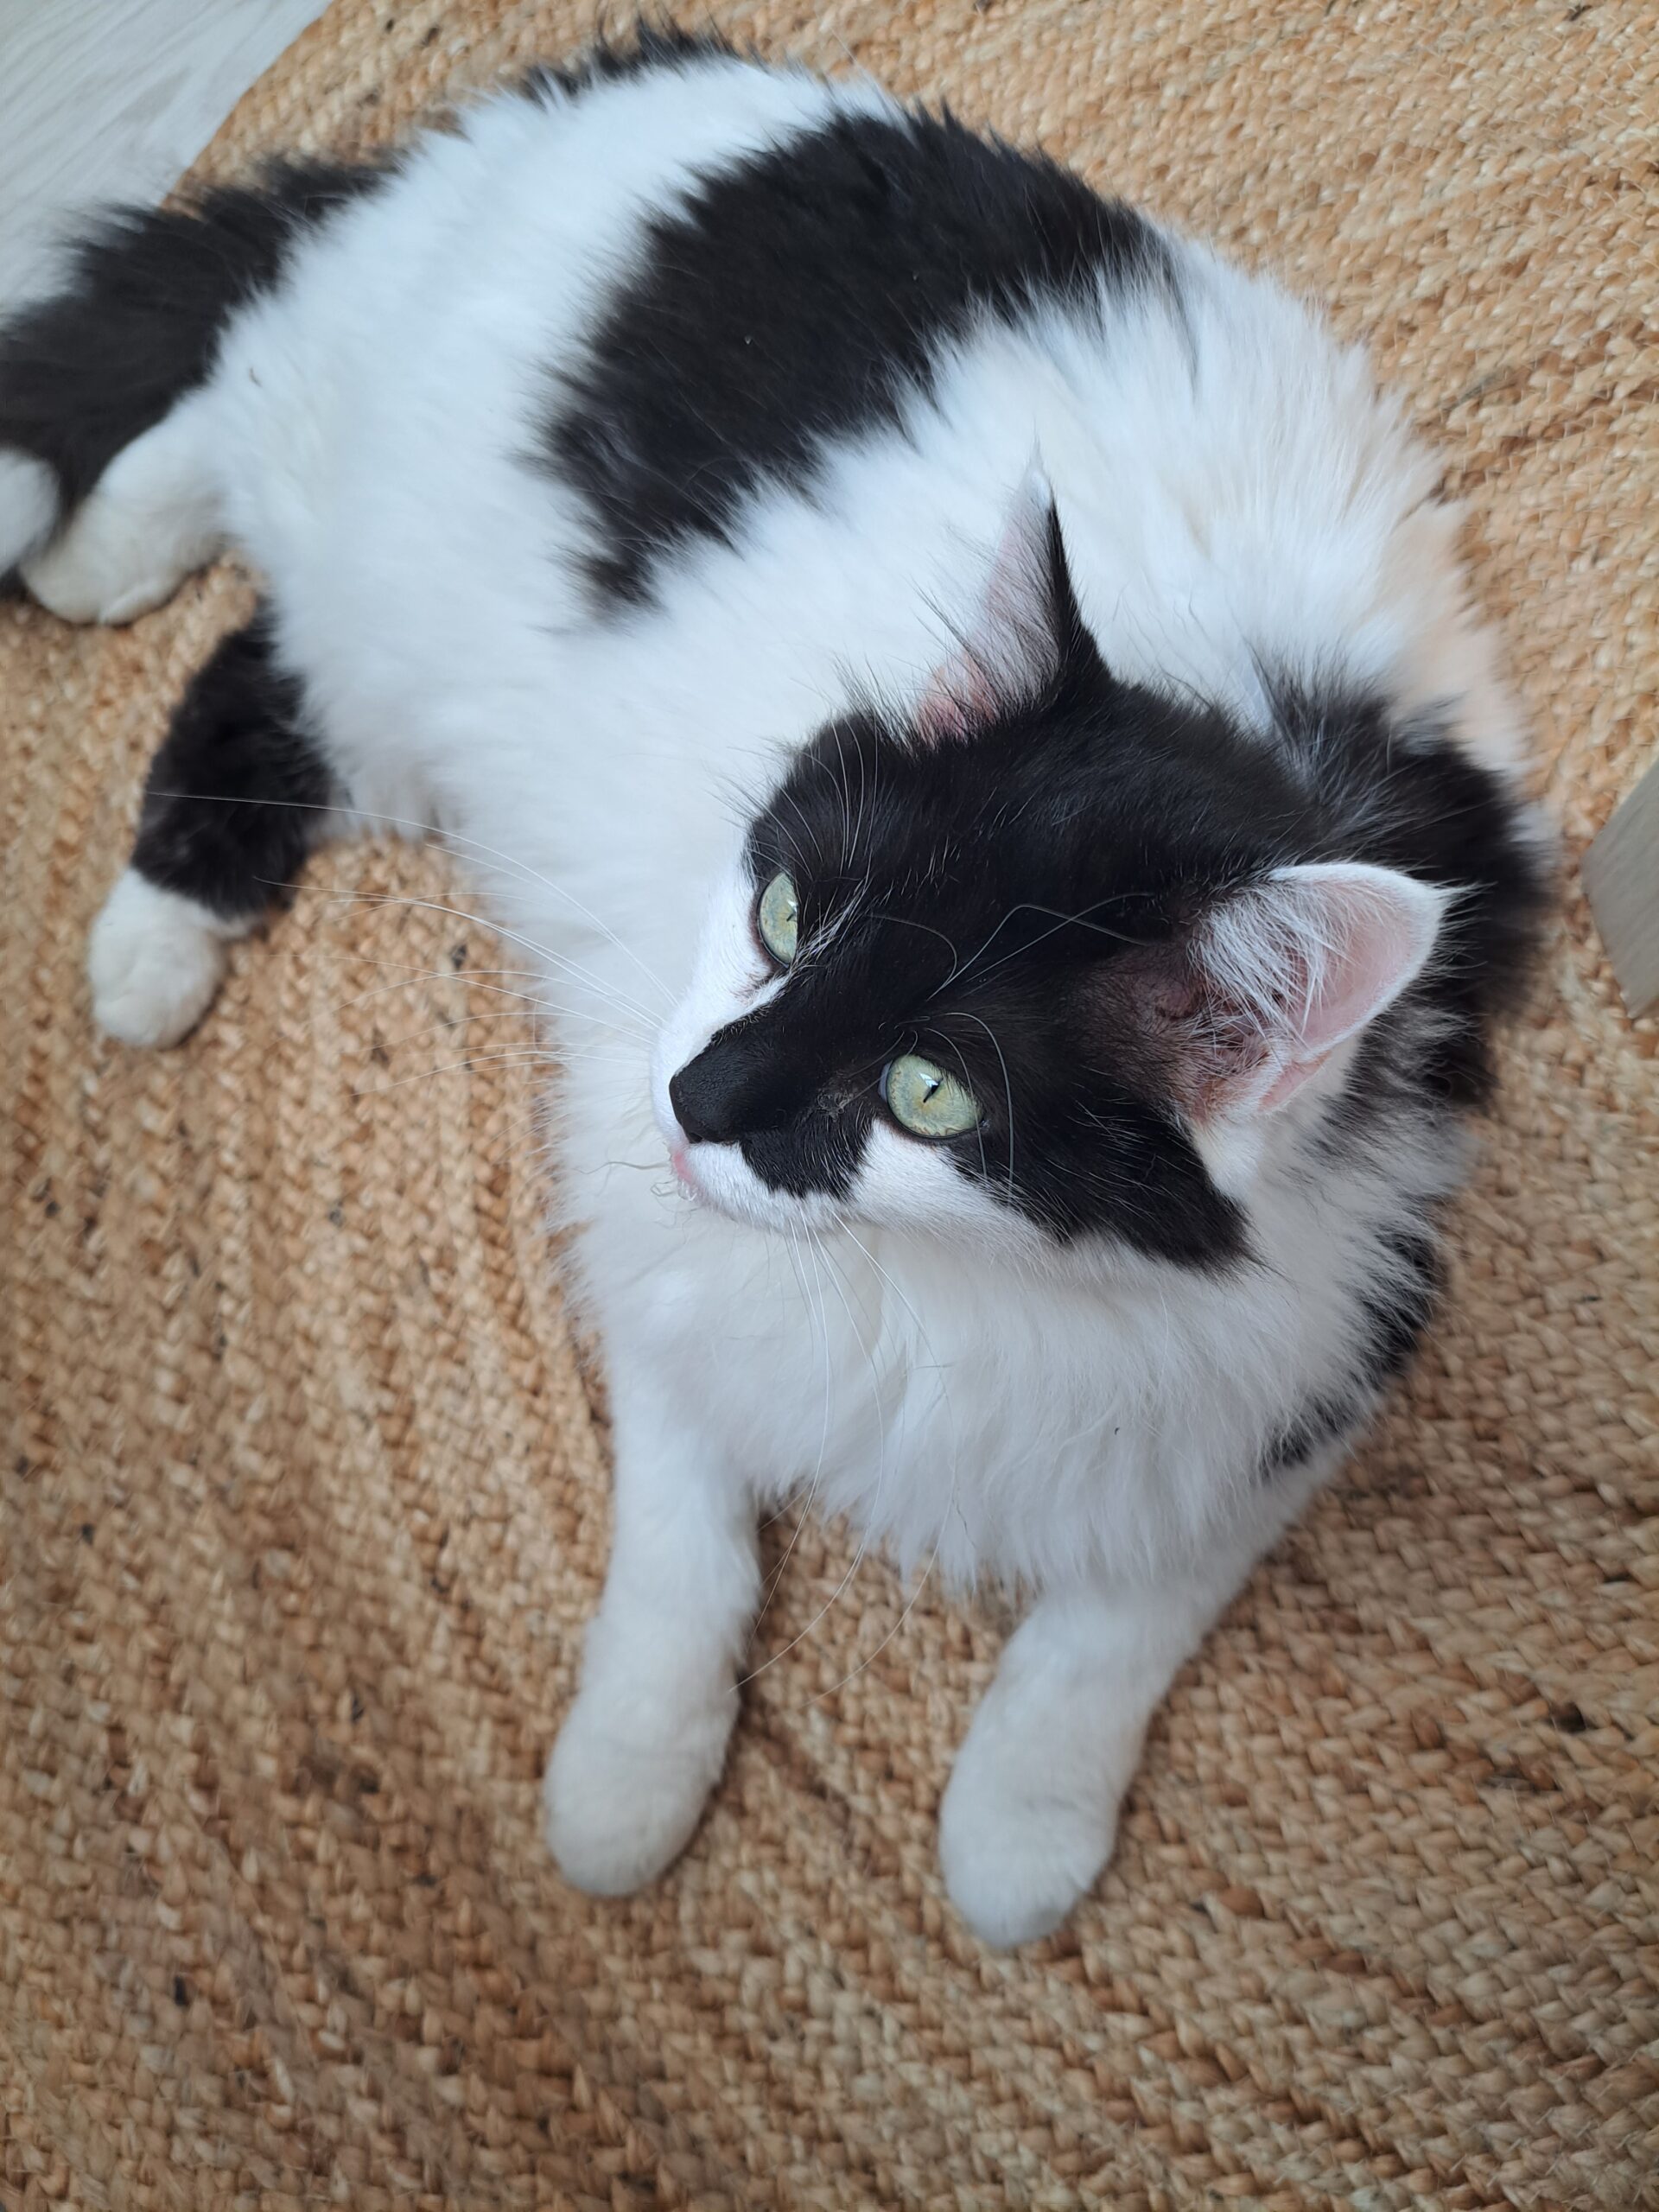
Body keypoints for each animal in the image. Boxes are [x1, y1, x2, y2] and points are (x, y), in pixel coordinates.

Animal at [6, 30, 1557, 1937]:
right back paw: (109, 684)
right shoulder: (666, 1259)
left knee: (255, 629)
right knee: (229, 410)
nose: (695, 1101)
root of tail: (560, 105)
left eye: (932, 1090)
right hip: (394, 527)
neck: (960, 1286)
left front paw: (1018, 1834)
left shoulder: (1321, 1332)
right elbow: (686, 1552)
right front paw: (625, 1784)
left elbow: (1117, 1617)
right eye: (790, 914)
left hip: (404, 671)